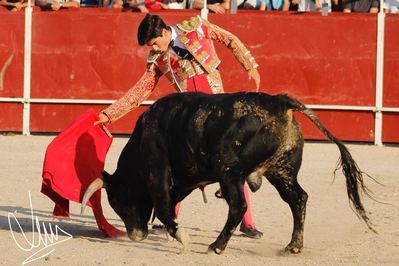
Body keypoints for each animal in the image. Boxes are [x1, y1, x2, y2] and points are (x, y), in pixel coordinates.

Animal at [81, 92, 376, 255]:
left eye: (118, 201)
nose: (135, 236)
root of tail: (279, 102)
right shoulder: (185, 180)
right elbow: (172, 205)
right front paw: (169, 233)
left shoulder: (158, 173)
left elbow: (164, 208)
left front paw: (181, 237)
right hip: (281, 170)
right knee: (298, 199)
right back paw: (293, 246)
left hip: (230, 172)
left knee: (238, 206)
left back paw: (216, 246)